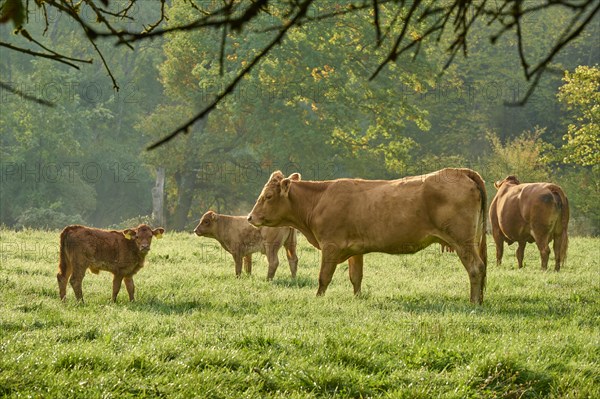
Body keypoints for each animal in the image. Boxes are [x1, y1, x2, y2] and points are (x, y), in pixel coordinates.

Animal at [247, 168, 488, 304]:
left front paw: (318, 298)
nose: (250, 217)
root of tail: (459, 171)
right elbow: (356, 276)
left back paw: (473, 302)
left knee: (476, 267)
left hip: (463, 241)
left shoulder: (330, 246)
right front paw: (357, 298)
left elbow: (324, 276)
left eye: (268, 196)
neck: (319, 200)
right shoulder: (355, 249)